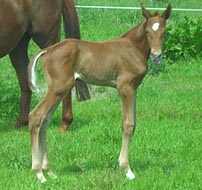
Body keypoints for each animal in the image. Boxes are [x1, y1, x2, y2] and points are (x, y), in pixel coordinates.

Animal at [27, 4, 171, 183]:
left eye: (164, 31)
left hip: (60, 90)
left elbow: (133, 123)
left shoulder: (134, 88)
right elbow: (128, 125)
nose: (156, 55)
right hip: (58, 88)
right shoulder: (125, 88)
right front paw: (127, 169)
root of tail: (48, 50)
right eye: (147, 32)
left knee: (44, 121)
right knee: (35, 116)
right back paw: (39, 173)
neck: (133, 48)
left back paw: (49, 171)